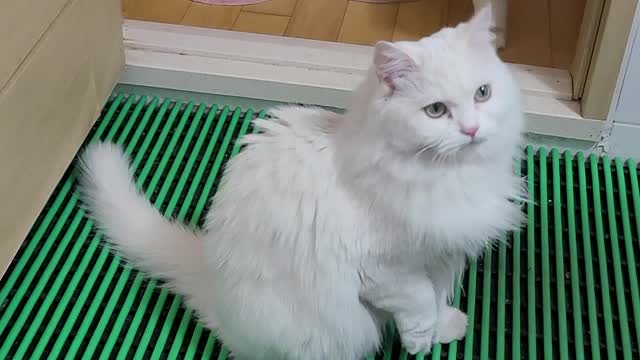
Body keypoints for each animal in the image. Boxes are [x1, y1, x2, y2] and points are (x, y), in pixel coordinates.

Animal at [80, 6, 524, 360]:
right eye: (435, 111)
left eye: (482, 94)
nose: (471, 129)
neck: (449, 176)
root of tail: (210, 280)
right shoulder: (383, 269)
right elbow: (417, 300)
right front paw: (419, 340)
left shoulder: (440, 254)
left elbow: (434, 296)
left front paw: (443, 328)